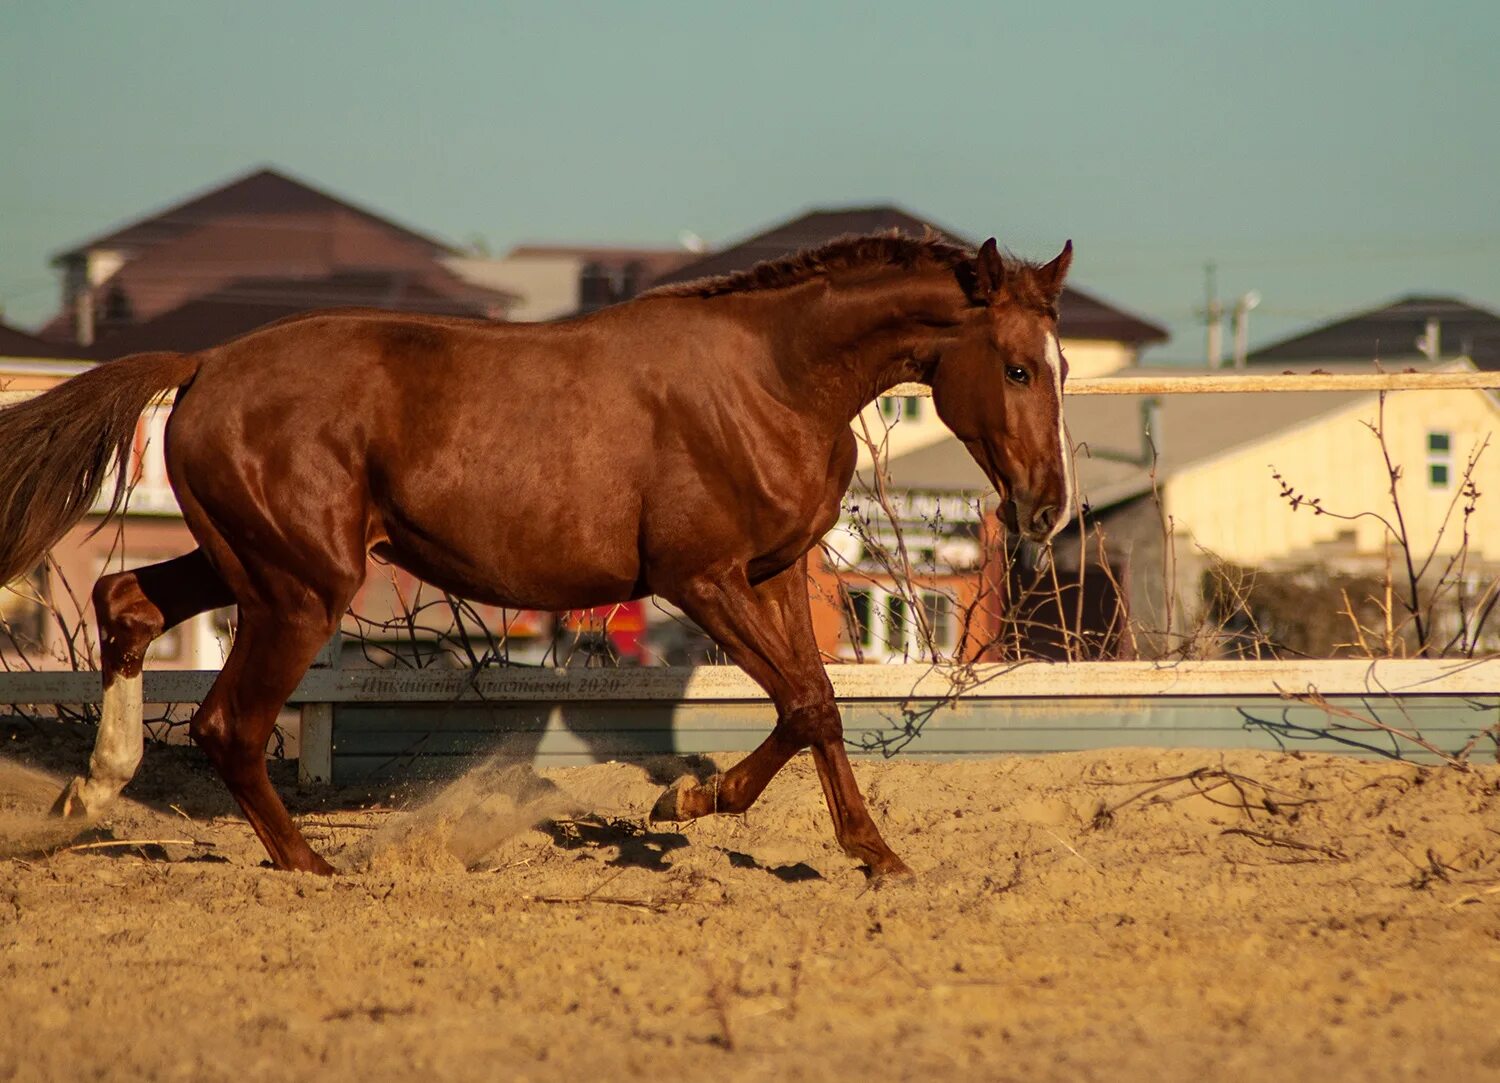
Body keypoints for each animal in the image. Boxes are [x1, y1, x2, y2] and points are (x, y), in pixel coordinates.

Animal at [0, 232, 1080, 876]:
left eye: (1064, 364)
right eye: (1017, 368)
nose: (1046, 504)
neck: (771, 378)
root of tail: (206, 366)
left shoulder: (770, 577)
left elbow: (815, 704)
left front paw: (860, 848)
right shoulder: (701, 578)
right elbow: (807, 704)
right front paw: (704, 801)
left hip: (251, 567)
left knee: (126, 600)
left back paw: (89, 790)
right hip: (302, 589)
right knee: (227, 723)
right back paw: (312, 867)